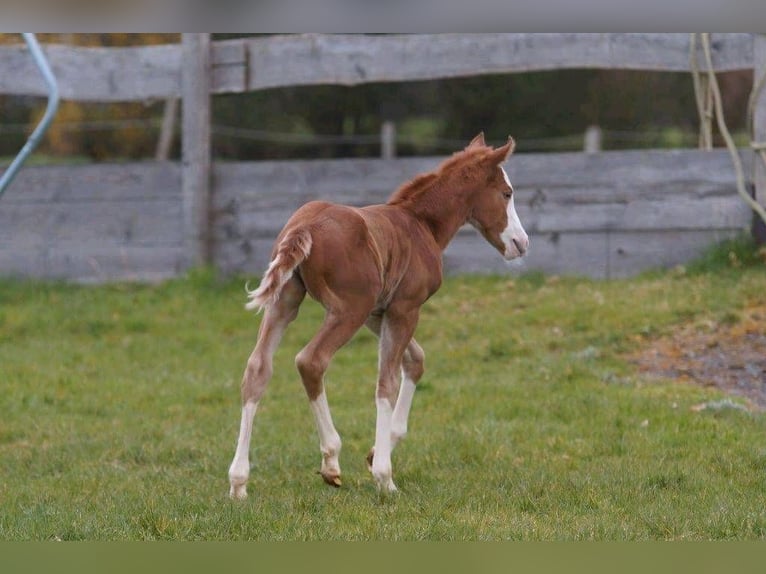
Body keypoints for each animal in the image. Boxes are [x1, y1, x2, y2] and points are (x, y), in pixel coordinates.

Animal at [228, 132, 528, 500]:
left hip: (286, 301)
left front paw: (376, 453)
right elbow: (387, 381)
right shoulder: (404, 309)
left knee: (257, 369)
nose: (521, 243)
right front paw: (384, 475)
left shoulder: (379, 311)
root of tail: (305, 226)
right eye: (507, 193)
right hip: (347, 310)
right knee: (310, 360)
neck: (420, 224)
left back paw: (239, 481)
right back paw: (331, 459)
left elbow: (415, 361)